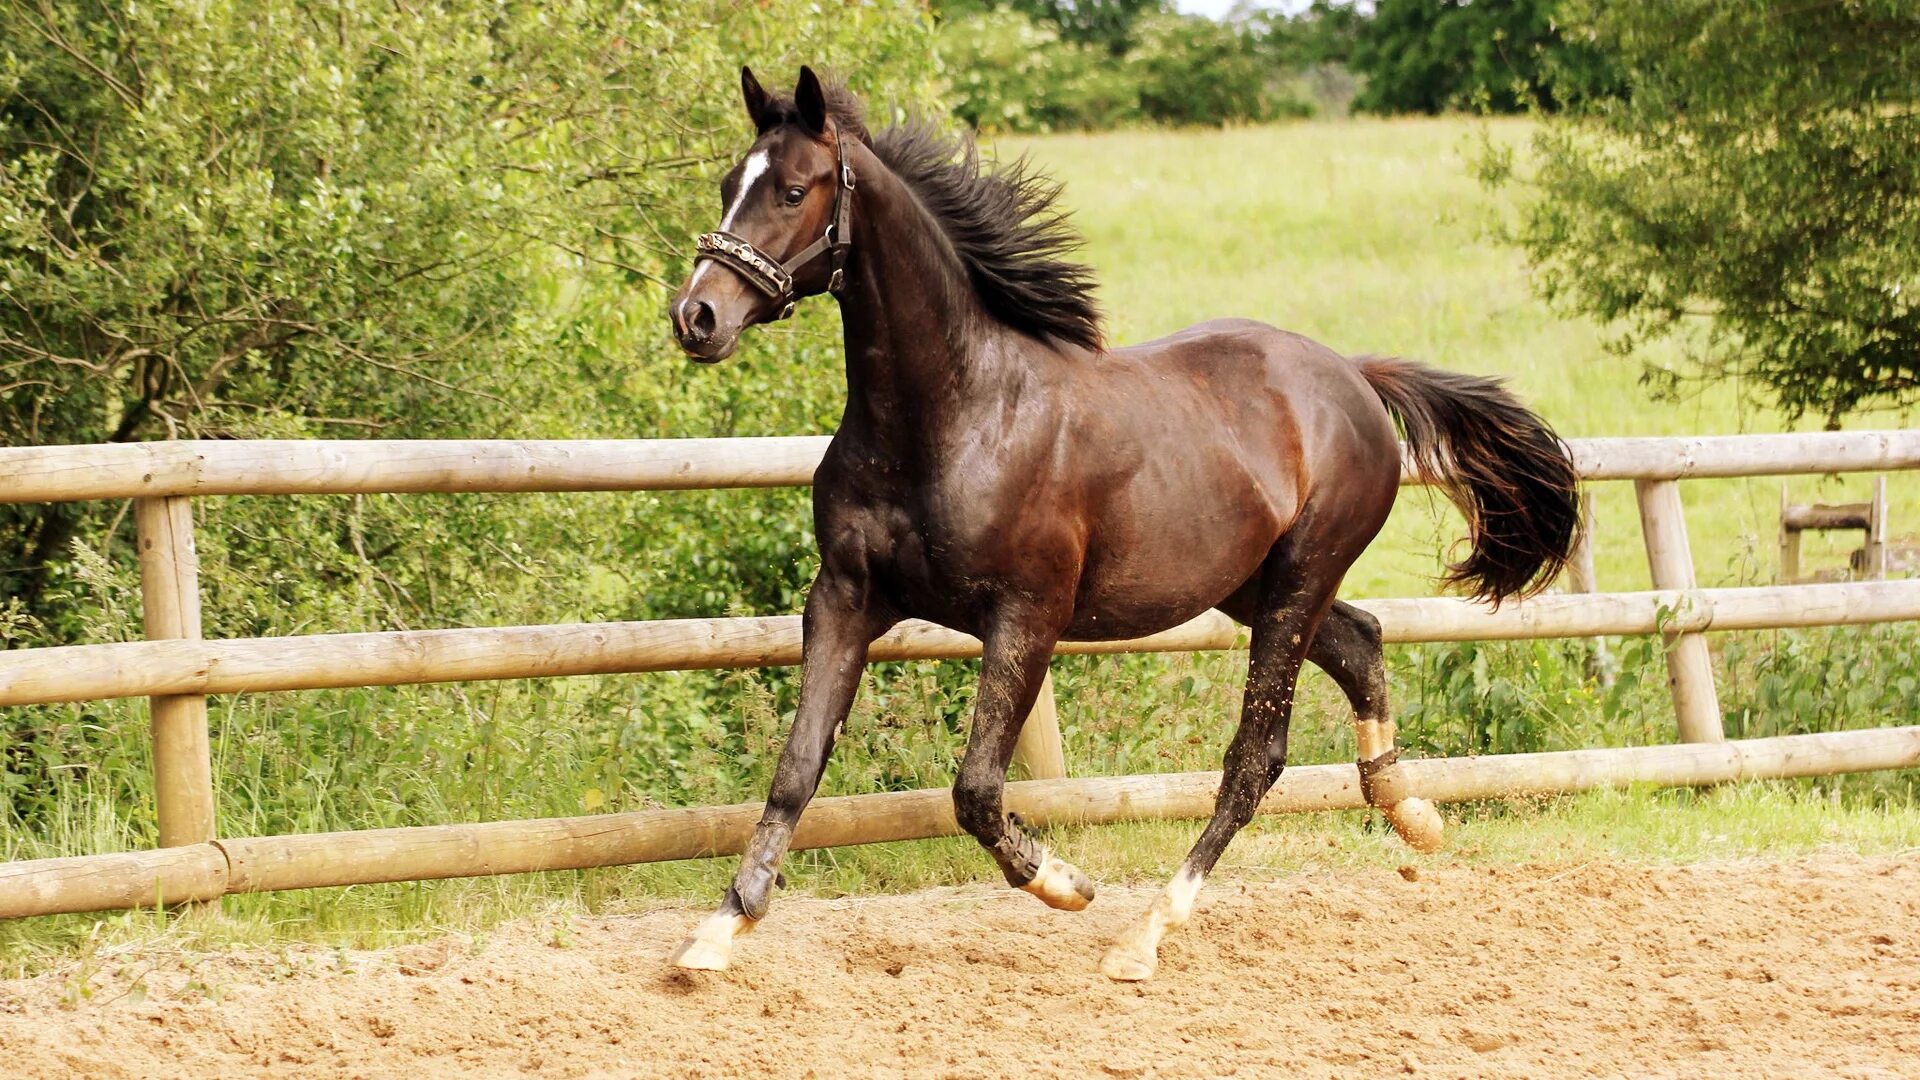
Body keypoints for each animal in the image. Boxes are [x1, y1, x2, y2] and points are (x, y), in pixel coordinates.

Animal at [664, 65, 1574, 976]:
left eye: (792, 190)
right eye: (728, 183)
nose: (697, 317)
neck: (953, 418)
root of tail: (1351, 374)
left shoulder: (1026, 617)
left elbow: (976, 790)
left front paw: (1066, 883)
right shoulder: (845, 599)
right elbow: (797, 767)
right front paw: (718, 931)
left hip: (1299, 578)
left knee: (1257, 756)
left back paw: (1145, 933)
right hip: (1249, 584)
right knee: (1362, 641)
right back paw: (1411, 812)